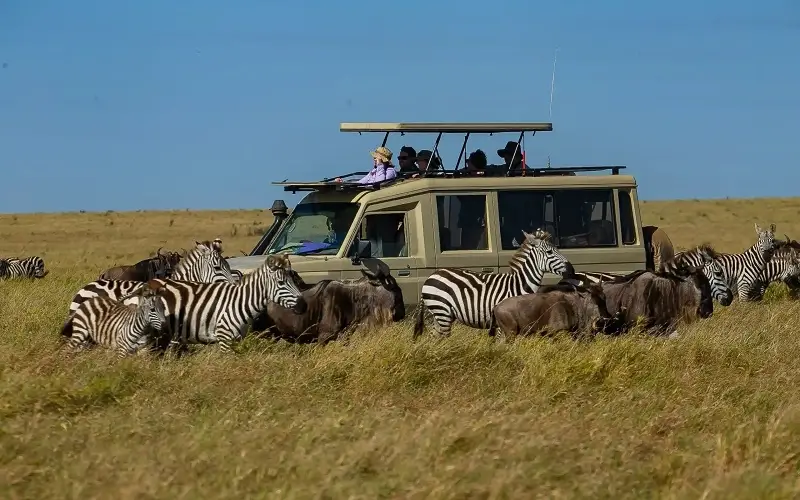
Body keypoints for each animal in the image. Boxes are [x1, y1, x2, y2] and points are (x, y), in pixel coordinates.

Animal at [149, 253, 306, 352]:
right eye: (281, 282)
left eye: (294, 280)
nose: (303, 305)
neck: (240, 303)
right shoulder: (224, 338)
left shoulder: (237, 339)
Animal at [413, 229, 574, 337]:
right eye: (549, 252)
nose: (571, 270)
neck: (519, 285)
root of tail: (431, 276)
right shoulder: (504, 322)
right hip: (442, 312)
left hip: (439, 315)